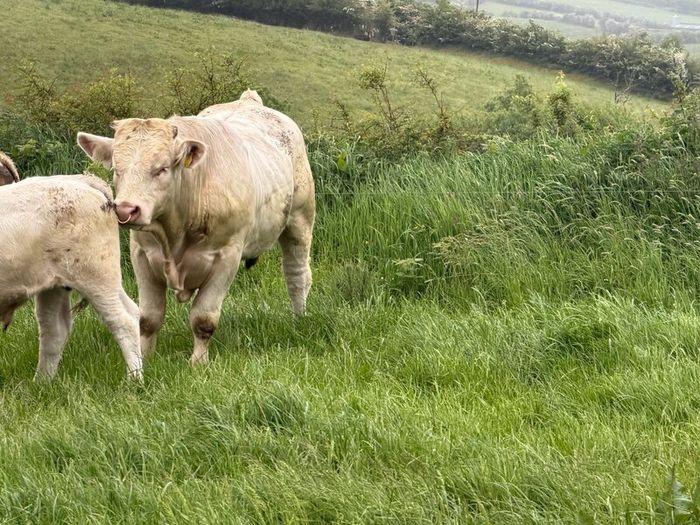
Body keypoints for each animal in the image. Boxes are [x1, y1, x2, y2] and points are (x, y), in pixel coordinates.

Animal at [0, 174, 142, 380]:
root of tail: (79, 179)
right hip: (57, 284)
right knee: (54, 331)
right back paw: (41, 383)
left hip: (97, 277)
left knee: (123, 322)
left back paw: (135, 379)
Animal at [76, 91, 315, 365]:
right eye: (117, 170)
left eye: (161, 169)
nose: (126, 210)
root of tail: (249, 101)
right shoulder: (142, 255)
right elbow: (148, 318)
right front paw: (146, 357)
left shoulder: (226, 258)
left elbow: (203, 319)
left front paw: (198, 362)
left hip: (300, 220)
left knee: (296, 274)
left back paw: (299, 318)